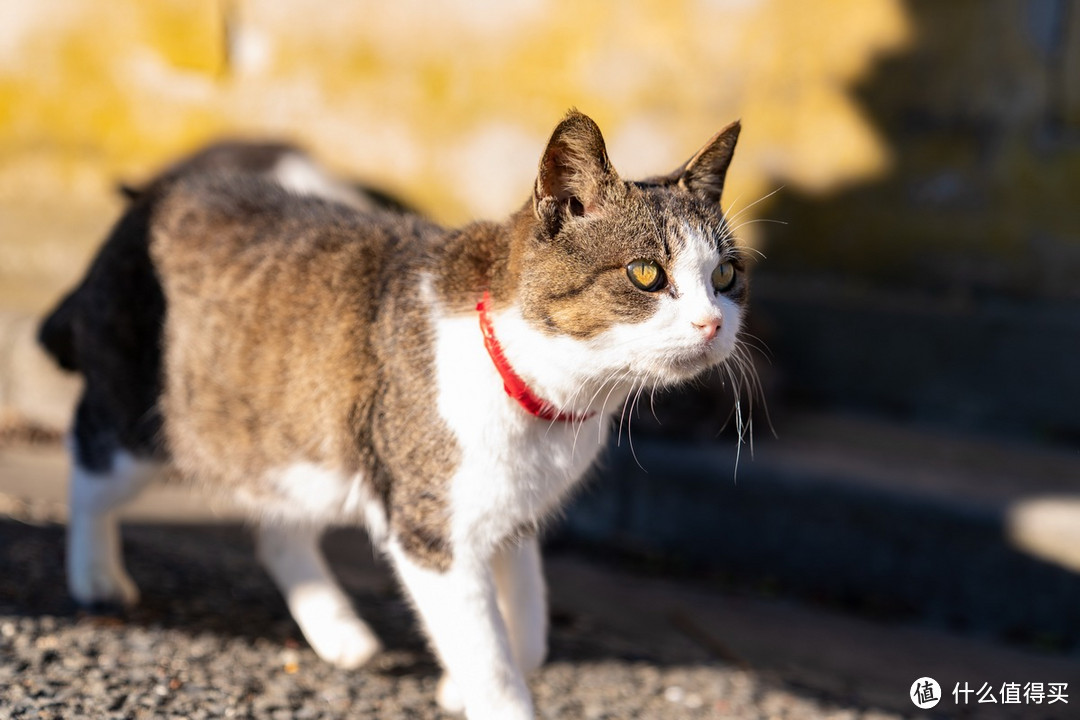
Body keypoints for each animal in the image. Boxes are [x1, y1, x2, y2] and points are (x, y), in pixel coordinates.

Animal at [42, 110, 747, 716]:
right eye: (647, 273)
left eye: (727, 276)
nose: (713, 323)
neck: (549, 400)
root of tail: (151, 195)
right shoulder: (433, 528)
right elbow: (490, 657)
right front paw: (485, 689)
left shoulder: (511, 515)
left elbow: (528, 632)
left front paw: (459, 683)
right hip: (144, 418)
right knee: (90, 455)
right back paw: (96, 574)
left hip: (299, 445)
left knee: (278, 527)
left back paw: (336, 630)